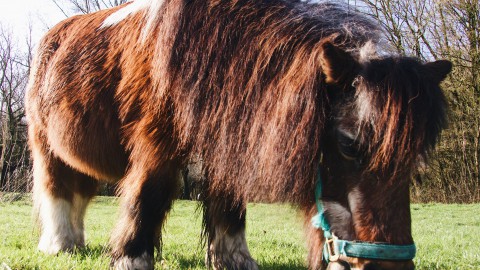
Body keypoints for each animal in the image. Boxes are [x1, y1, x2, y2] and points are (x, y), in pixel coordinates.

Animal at [26, 0, 452, 268]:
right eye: (349, 144)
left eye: (415, 156)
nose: (387, 268)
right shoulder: (156, 143)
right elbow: (148, 195)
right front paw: (132, 257)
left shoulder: (224, 142)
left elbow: (230, 207)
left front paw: (234, 259)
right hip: (46, 147)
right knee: (58, 192)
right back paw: (60, 246)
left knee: (80, 195)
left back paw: (77, 243)